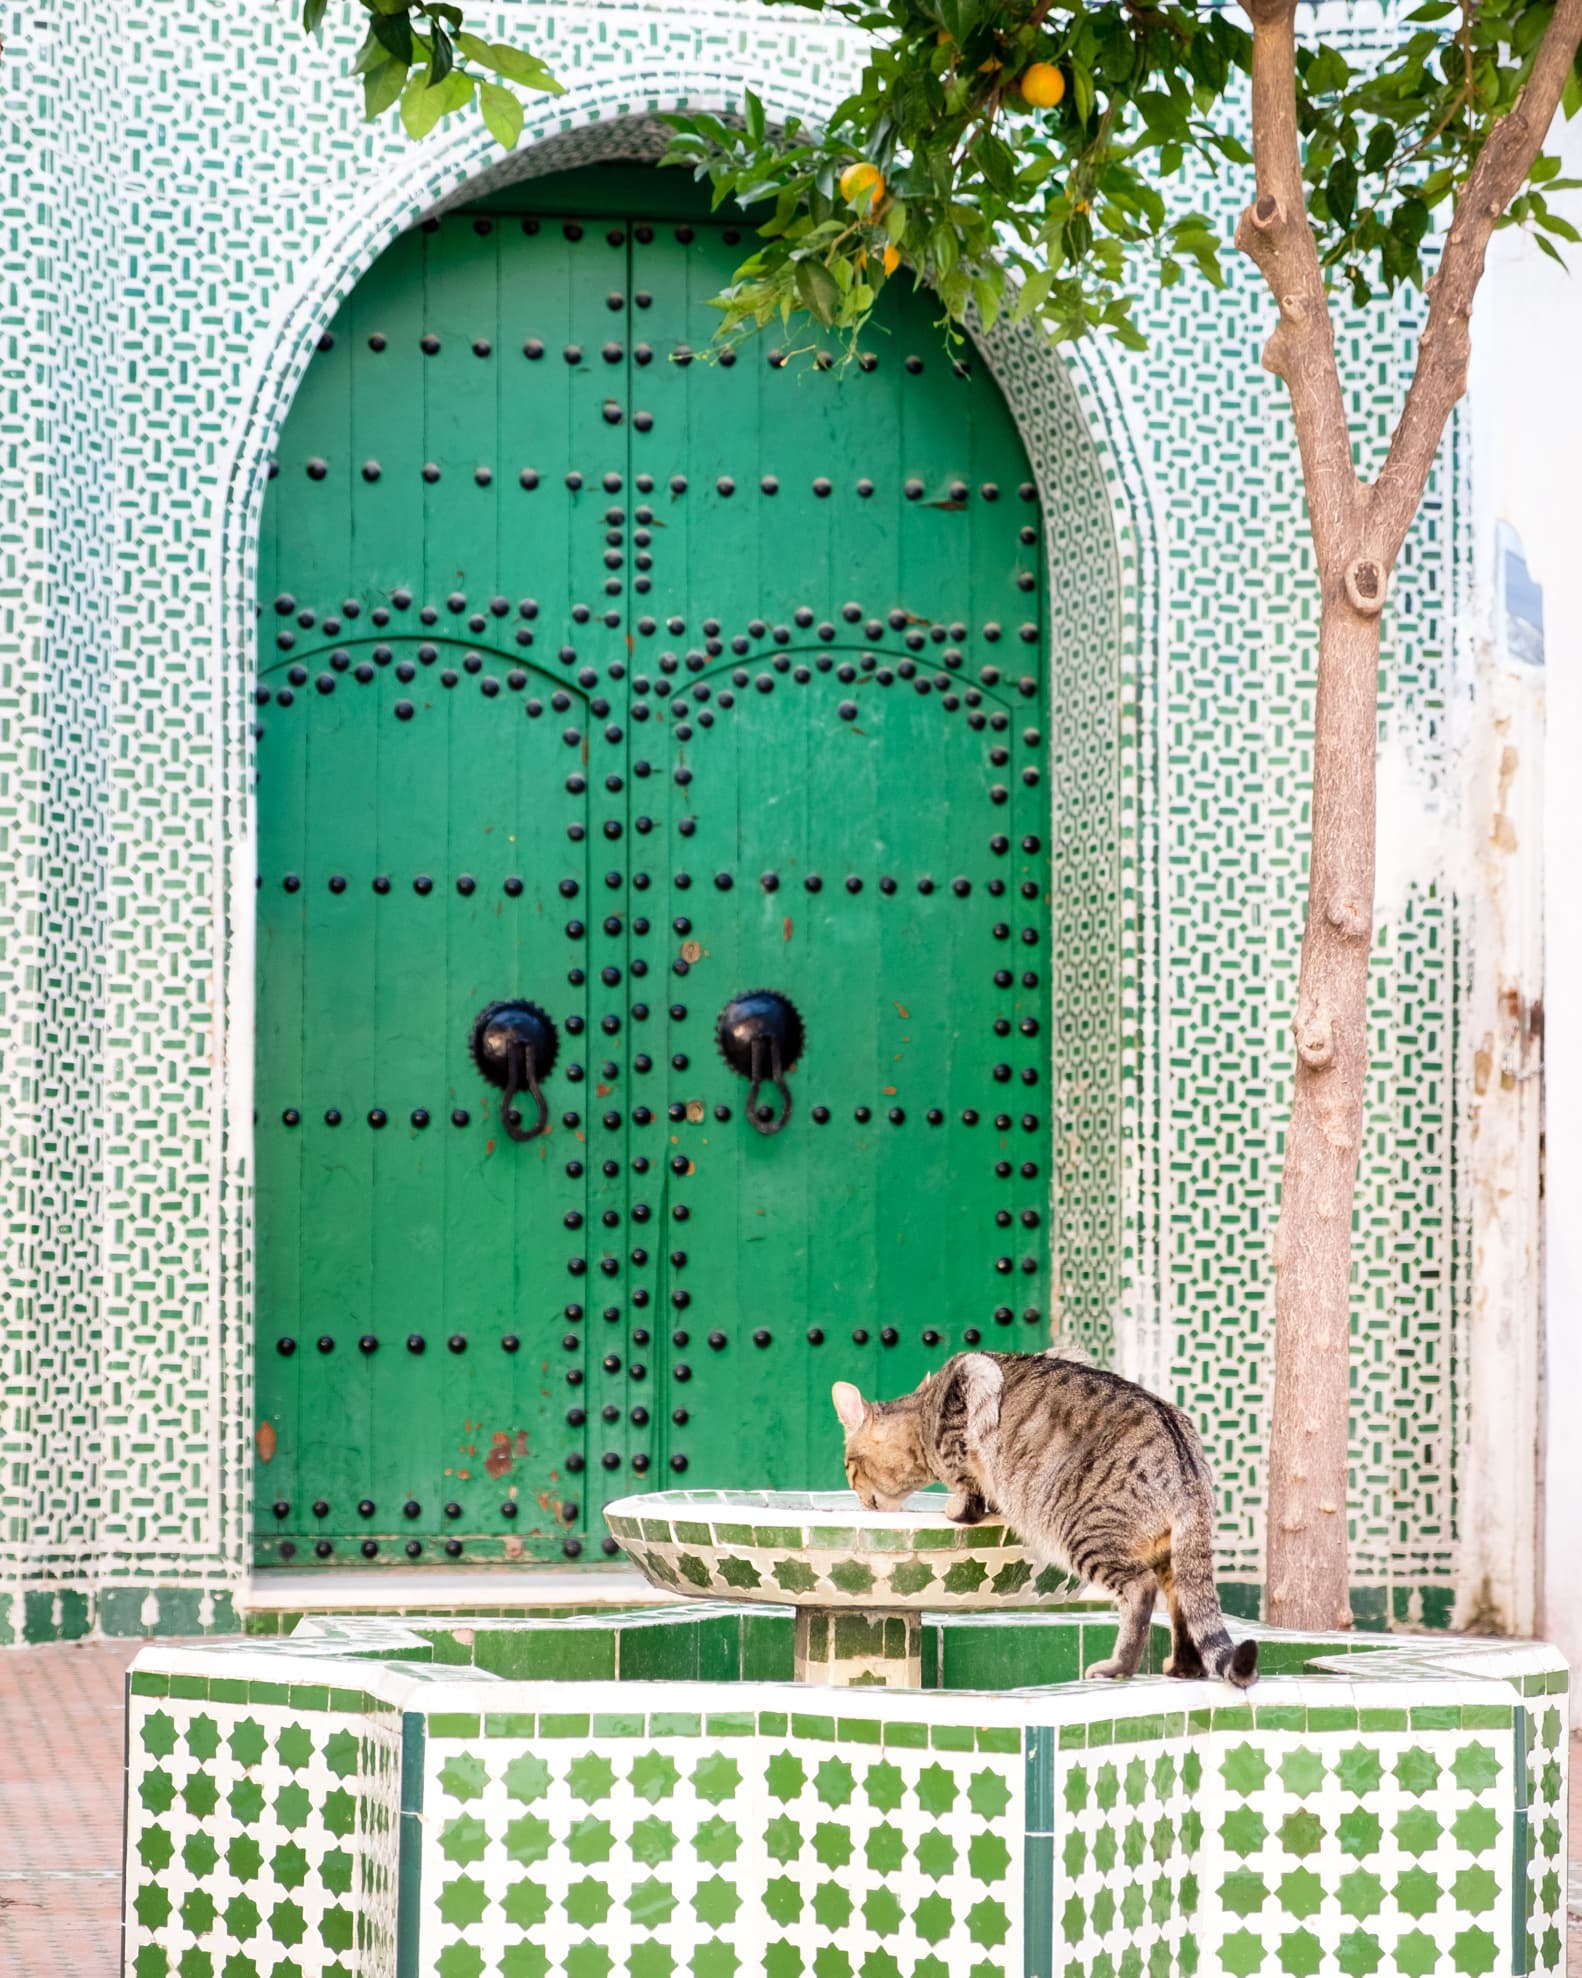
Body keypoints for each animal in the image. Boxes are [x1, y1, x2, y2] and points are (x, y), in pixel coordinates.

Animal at [826, 1352, 1257, 1693]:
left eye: (847, 1466)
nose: (860, 1499)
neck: (923, 1413)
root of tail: (1188, 1467)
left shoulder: (964, 1422)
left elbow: (968, 1496)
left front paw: (956, 1507)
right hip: (1171, 1556)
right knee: (1184, 1607)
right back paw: (1183, 1668)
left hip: (1085, 1534)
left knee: (1140, 1589)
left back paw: (1118, 1667)